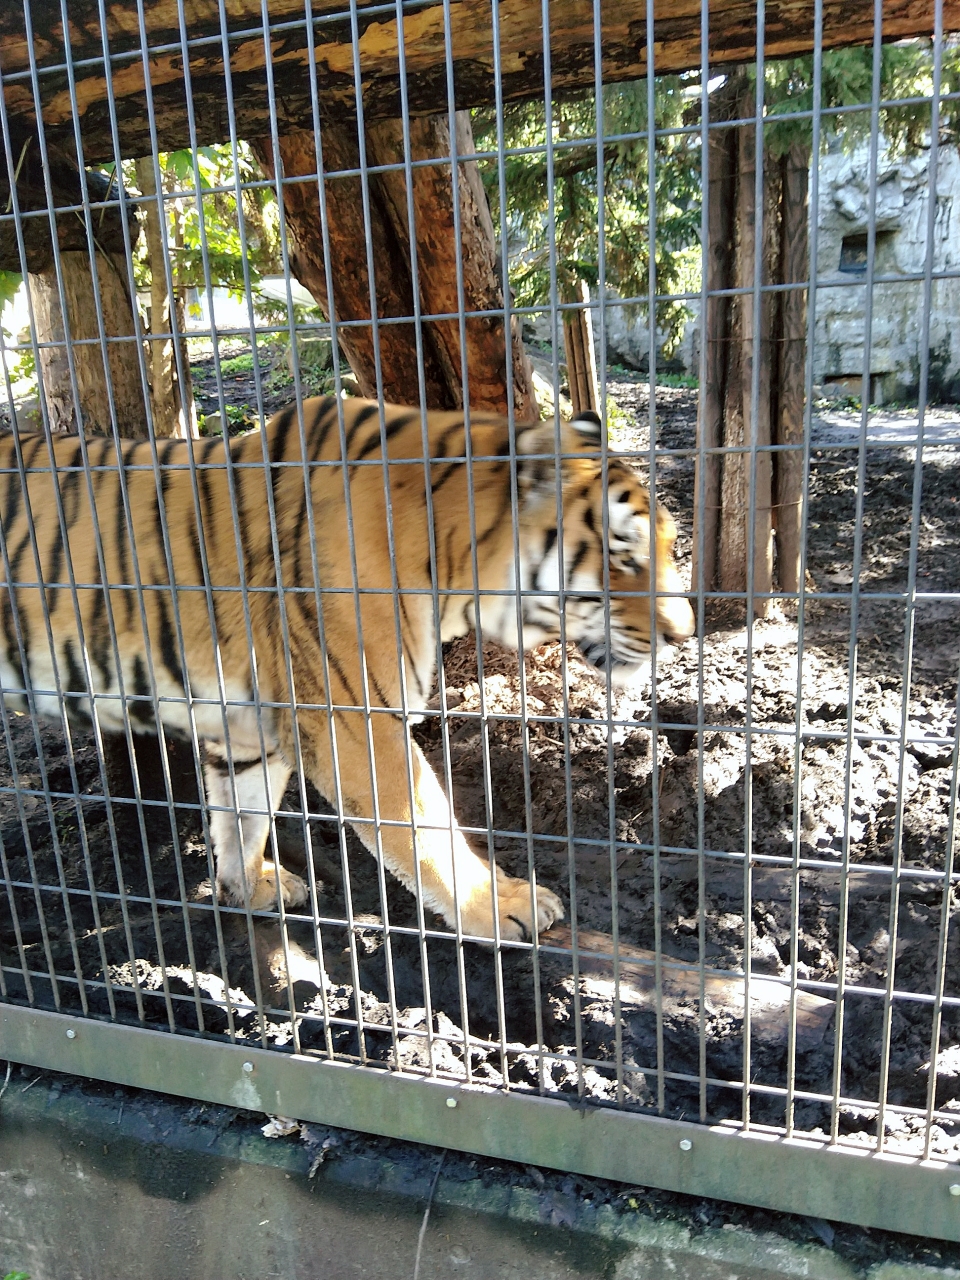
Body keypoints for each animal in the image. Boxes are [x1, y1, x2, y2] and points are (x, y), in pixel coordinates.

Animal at [0, 396, 696, 942]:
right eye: (625, 553)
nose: (683, 634)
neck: (450, 559)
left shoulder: (250, 726)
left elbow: (241, 815)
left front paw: (247, 889)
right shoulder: (357, 721)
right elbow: (428, 827)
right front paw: (500, 906)